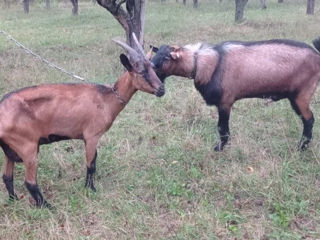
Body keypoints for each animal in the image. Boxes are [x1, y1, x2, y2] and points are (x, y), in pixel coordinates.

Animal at [0, 34, 165, 208]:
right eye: (141, 72)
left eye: (153, 68)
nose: (161, 89)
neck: (107, 97)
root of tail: (2, 109)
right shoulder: (92, 135)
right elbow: (91, 164)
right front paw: (91, 189)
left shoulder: (89, 138)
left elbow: (94, 160)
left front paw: (88, 187)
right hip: (27, 147)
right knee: (30, 182)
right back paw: (47, 206)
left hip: (10, 149)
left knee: (7, 177)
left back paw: (14, 199)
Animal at [151, 38, 320, 152]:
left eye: (164, 59)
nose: (158, 88)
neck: (206, 63)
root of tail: (316, 55)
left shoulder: (225, 102)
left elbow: (222, 128)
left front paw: (220, 147)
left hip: (301, 95)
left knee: (309, 119)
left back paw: (301, 147)